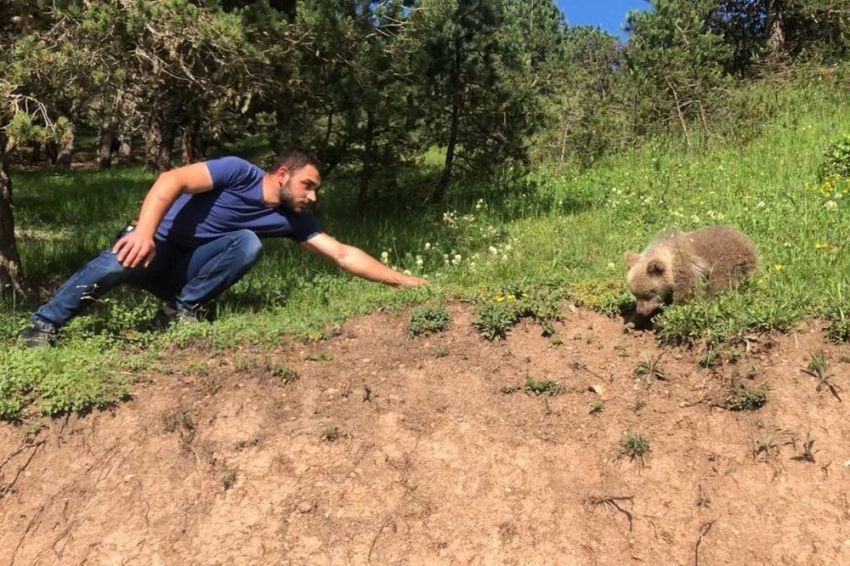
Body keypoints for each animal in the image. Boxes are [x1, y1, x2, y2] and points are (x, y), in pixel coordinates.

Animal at [624, 226, 756, 318]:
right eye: (634, 294)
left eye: (648, 294)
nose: (641, 311)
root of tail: (746, 239)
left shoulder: (684, 264)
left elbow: (688, 290)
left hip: (728, 257)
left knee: (720, 281)